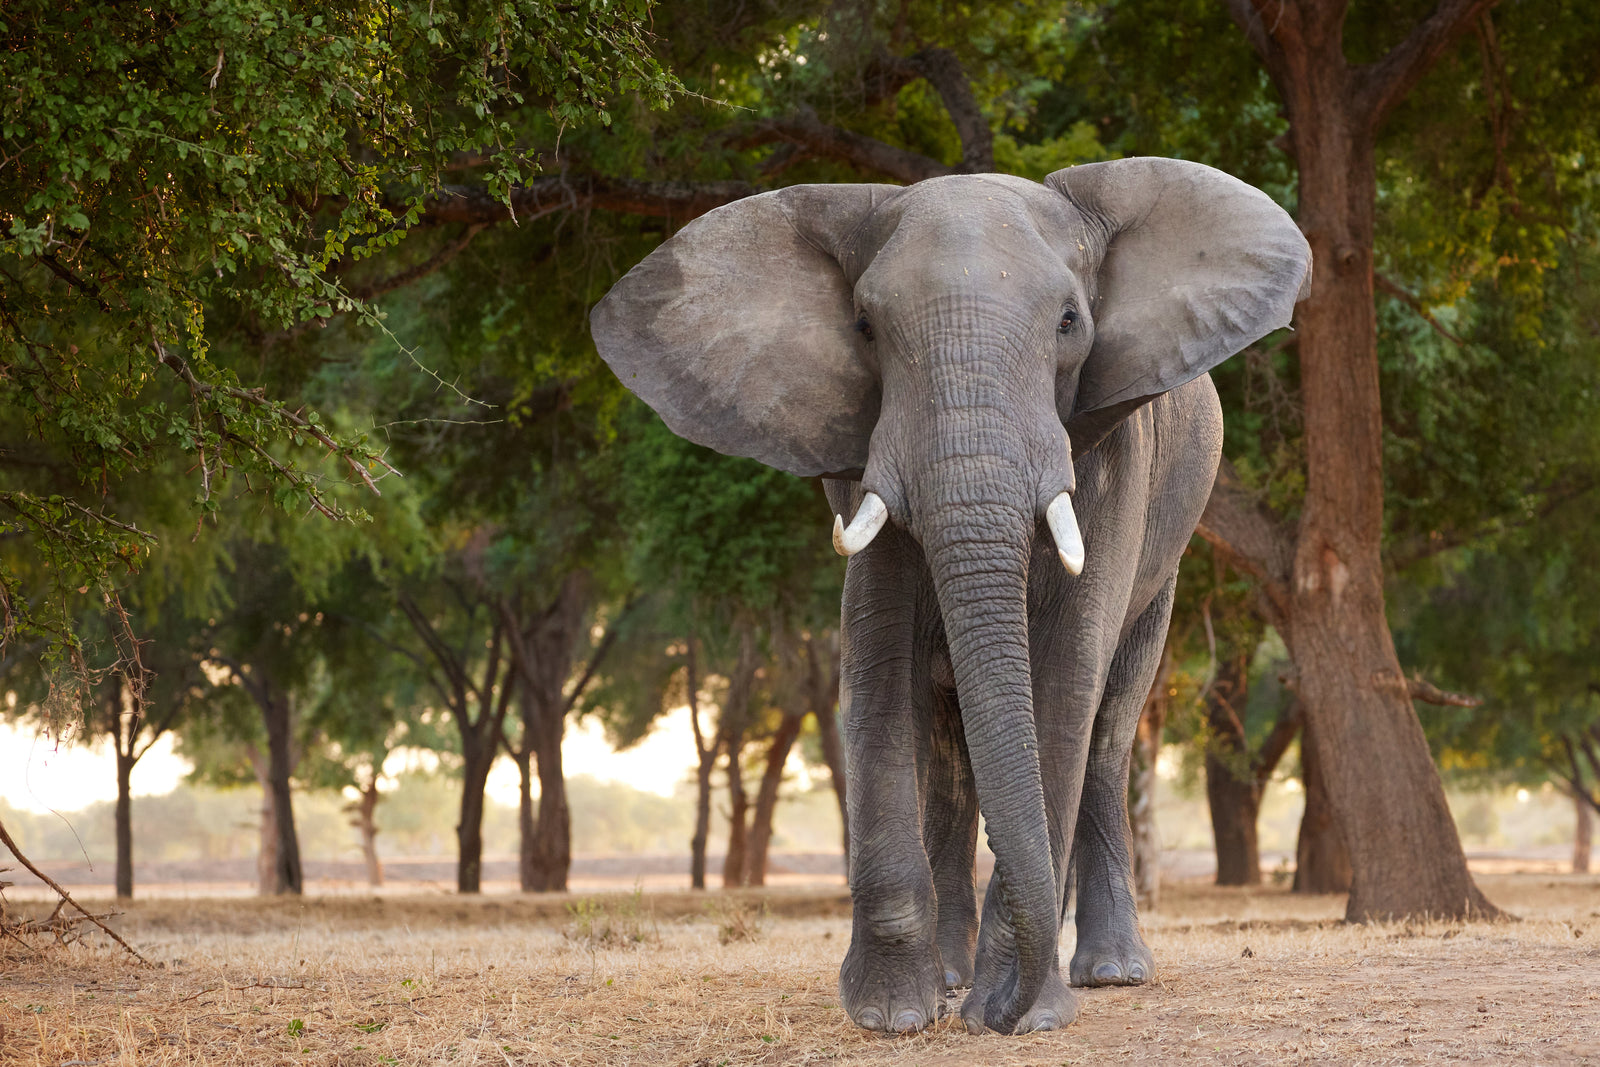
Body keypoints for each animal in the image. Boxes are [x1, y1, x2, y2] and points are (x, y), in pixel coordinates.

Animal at [590, 158, 1311, 1035]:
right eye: (864, 327)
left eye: (1070, 320)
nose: (998, 1011)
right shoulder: (861, 452)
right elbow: (875, 652)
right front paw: (893, 1013)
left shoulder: (1114, 447)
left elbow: (1067, 674)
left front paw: (1024, 1013)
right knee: (946, 746)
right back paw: (955, 973)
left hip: (1169, 563)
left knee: (1107, 727)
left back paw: (1108, 973)